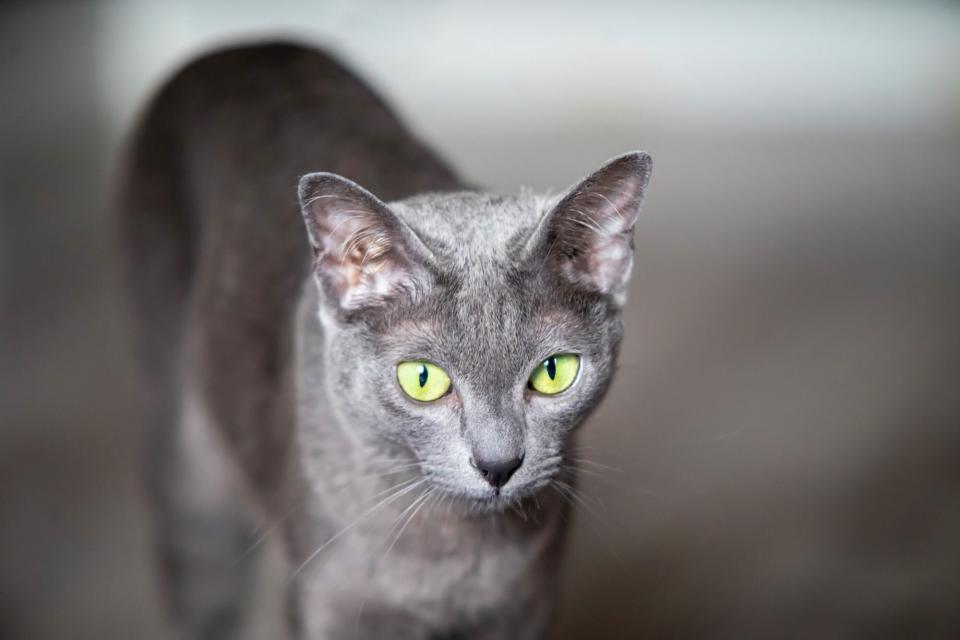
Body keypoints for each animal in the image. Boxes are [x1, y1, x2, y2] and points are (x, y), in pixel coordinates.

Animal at [116, 43, 648, 640]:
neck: (452, 562)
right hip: (192, 482)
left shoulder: (527, 610)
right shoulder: (328, 608)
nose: (499, 465)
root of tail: (240, 47)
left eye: (553, 372)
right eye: (422, 379)